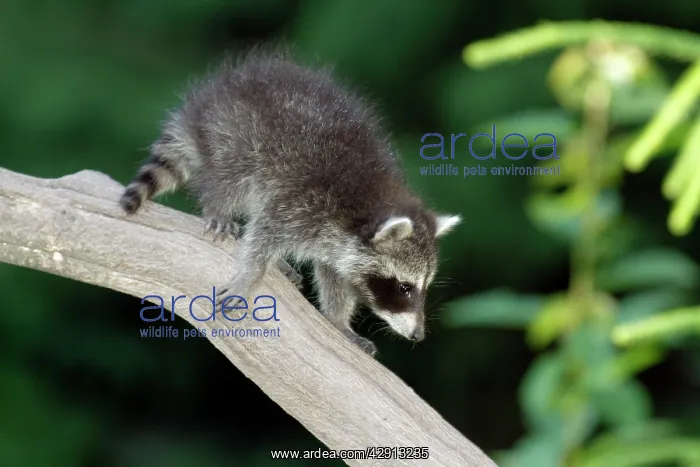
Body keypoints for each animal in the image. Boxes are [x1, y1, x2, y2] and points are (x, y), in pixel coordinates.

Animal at [119, 49, 460, 356]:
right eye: (404, 288)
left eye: (424, 287)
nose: (418, 336)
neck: (366, 204)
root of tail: (204, 102)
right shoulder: (303, 203)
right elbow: (264, 235)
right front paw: (250, 277)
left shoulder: (335, 242)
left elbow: (334, 279)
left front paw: (339, 321)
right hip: (236, 135)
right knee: (231, 179)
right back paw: (219, 207)